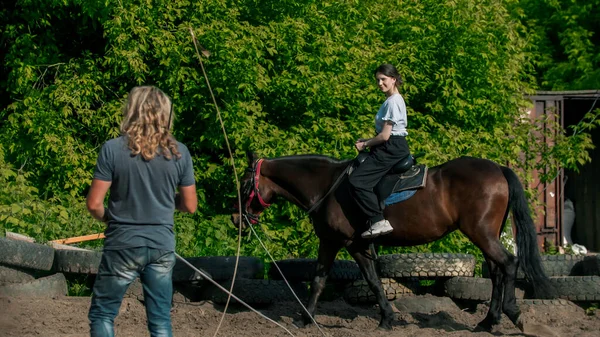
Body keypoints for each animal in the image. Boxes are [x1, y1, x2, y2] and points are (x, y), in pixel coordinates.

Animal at [230, 151, 552, 330]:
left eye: (244, 183)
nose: (235, 217)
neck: (327, 186)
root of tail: (498, 169)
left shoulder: (345, 243)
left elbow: (350, 281)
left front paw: (307, 318)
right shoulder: (344, 244)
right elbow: (341, 280)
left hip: (481, 234)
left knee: (509, 264)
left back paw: (510, 314)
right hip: (486, 235)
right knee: (497, 272)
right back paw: (488, 321)